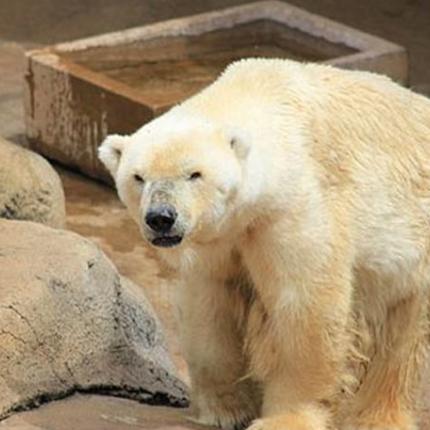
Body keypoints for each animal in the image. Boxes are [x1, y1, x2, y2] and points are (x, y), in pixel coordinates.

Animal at [99, 58, 430, 430]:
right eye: (138, 177)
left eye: (194, 174)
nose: (161, 217)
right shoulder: (220, 239)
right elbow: (209, 305)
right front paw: (224, 409)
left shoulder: (293, 210)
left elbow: (304, 304)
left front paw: (285, 418)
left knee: (401, 338)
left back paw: (379, 418)